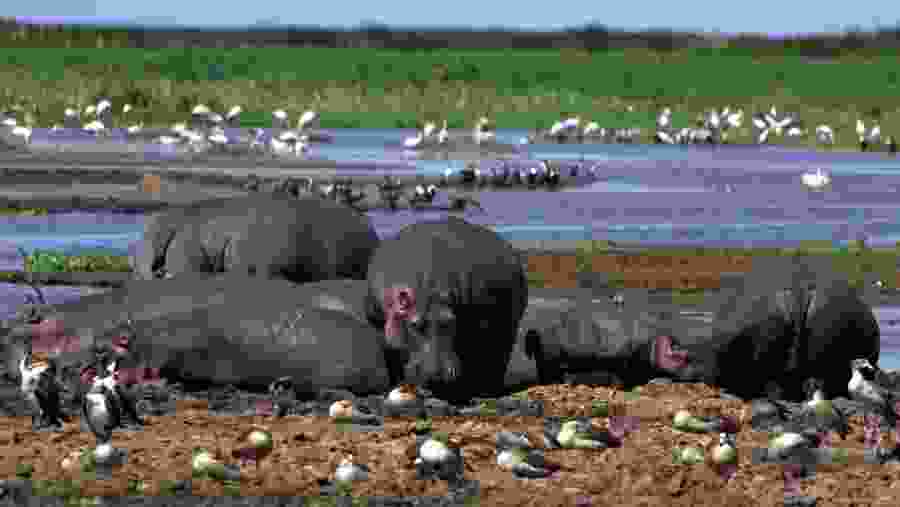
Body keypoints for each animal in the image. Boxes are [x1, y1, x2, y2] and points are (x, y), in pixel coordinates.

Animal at [365, 216, 528, 402]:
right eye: (415, 325)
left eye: (451, 322)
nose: (438, 377)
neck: (428, 289)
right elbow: (392, 355)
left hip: (507, 327)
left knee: (496, 356)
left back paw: (485, 391)